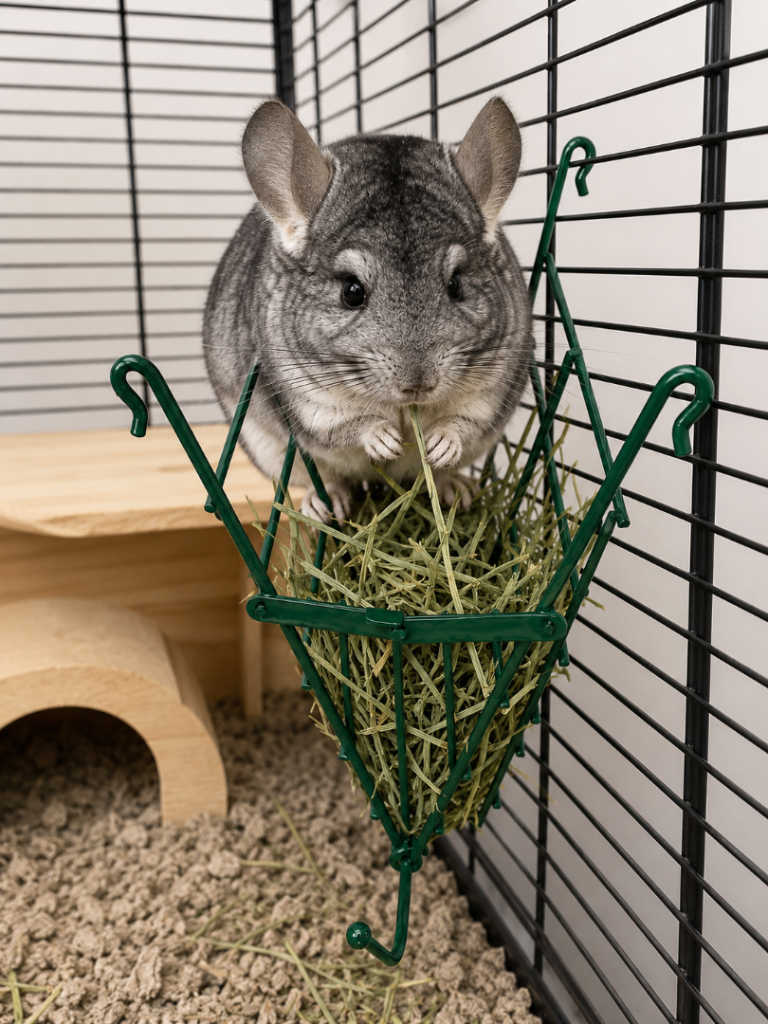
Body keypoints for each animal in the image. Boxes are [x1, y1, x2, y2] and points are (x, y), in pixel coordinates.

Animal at [204, 96, 532, 524]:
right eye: (352, 292)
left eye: (457, 284)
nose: (417, 385)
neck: (403, 409)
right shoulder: (309, 399)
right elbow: (348, 425)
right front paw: (384, 441)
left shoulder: (491, 388)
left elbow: (465, 422)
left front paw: (440, 444)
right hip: (268, 449)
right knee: (320, 481)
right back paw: (324, 505)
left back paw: (455, 489)